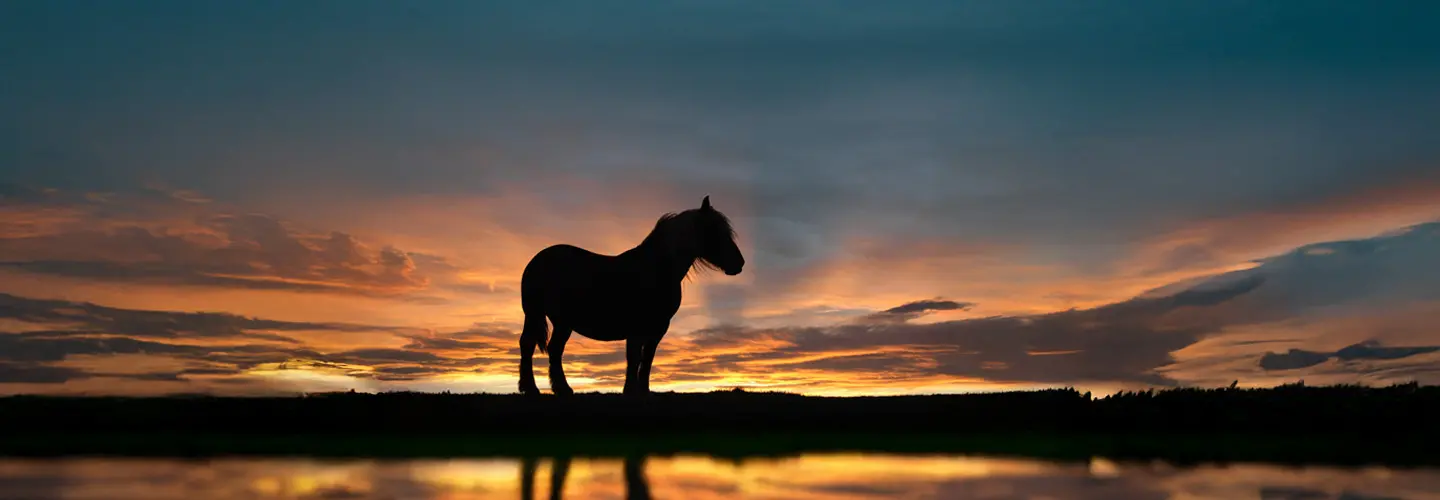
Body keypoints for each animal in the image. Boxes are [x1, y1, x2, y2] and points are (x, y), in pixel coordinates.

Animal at [518, 195, 745, 396]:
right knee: (531, 346)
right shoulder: (636, 328)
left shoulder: (658, 328)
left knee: (551, 349)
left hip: (561, 322)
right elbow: (634, 357)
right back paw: (534, 389)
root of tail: (537, 260)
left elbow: (647, 359)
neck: (657, 269)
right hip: (540, 315)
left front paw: (643, 390)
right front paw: (630, 391)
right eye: (714, 230)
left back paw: (560, 389)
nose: (739, 263)